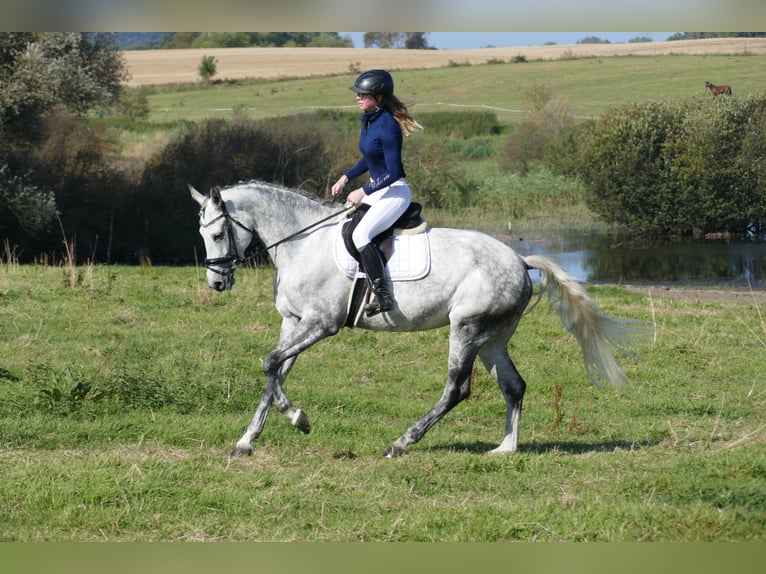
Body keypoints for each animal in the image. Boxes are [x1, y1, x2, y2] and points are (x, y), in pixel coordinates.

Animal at [192, 180, 640, 460]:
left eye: (216, 234)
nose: (217, 283)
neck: (303, 241)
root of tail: (518, 258)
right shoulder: (293, 323)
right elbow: (275, 374)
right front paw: (246, 441)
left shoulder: (320, 324)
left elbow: (270, 364)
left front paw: (299, 420)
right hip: (492, 338)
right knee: (513, 386)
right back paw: (505, 448)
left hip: (466, 329)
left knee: (456, 389)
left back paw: (402, 443)